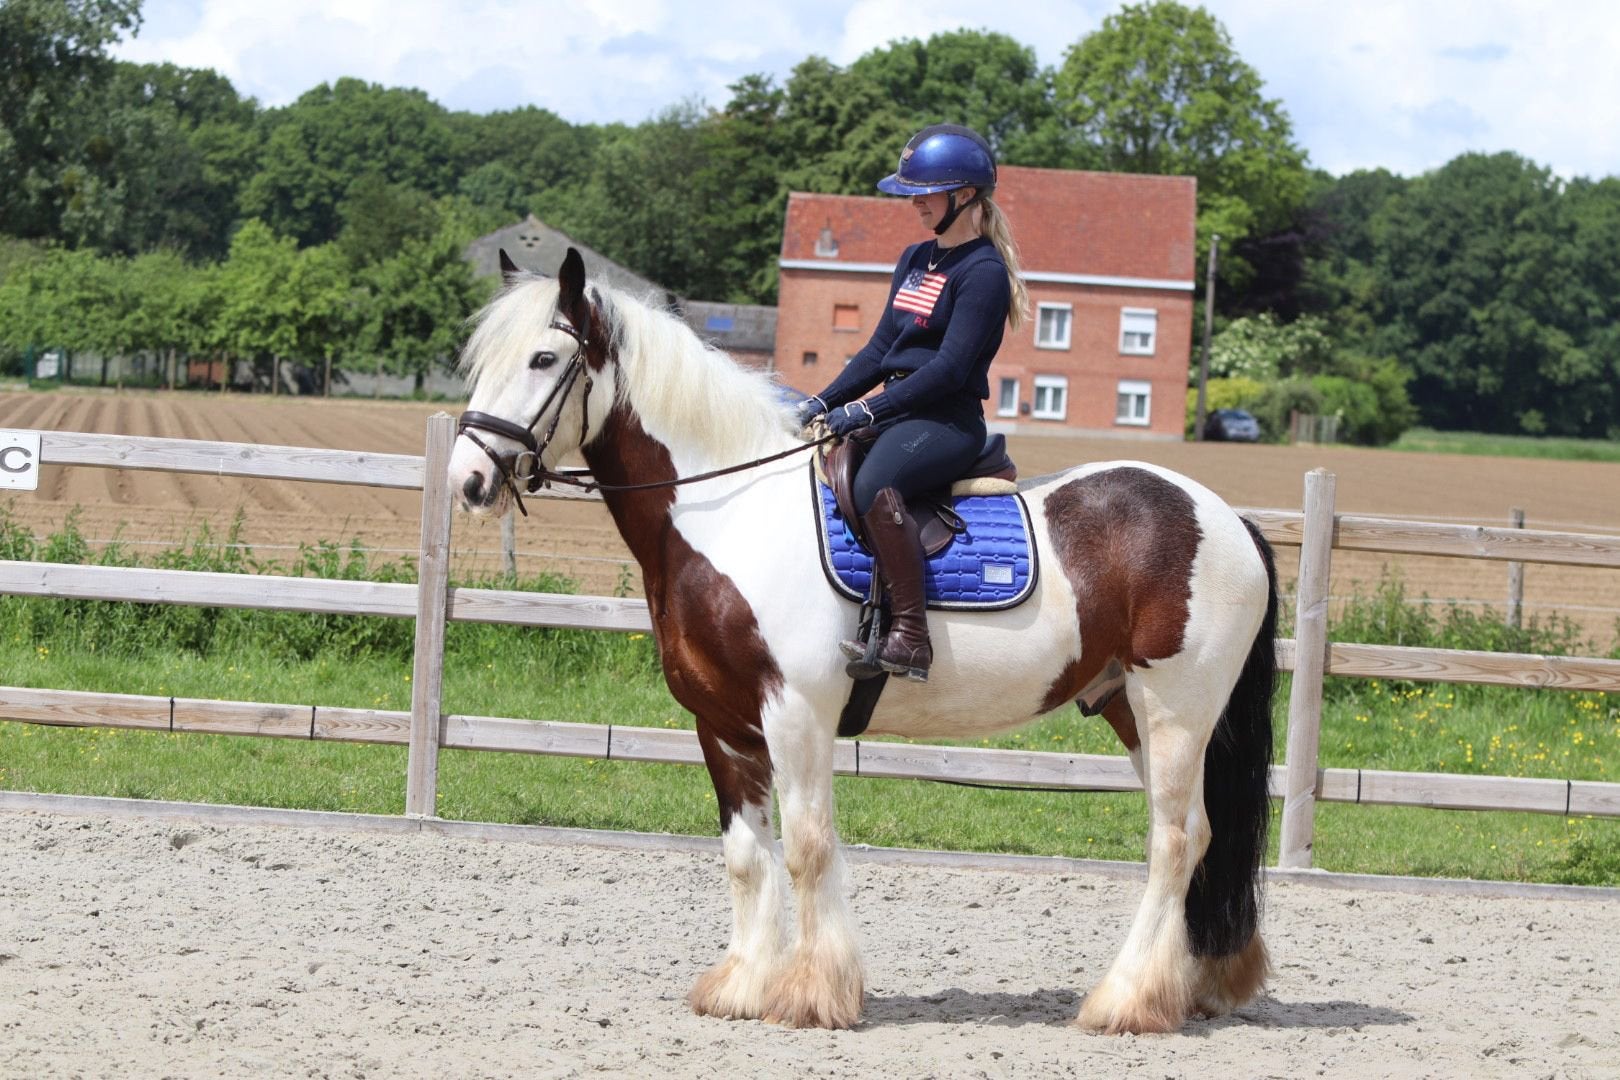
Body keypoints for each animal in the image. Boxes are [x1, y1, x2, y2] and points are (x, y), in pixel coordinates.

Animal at [448, 248, 1280, 1035]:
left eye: (543, 359)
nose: (467, 480)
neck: (730, 513)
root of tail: (1227, 519)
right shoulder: (721, 724)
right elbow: (746, 855)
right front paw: (744, 986)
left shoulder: (796, 714)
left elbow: (807, 847)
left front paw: (814, 994)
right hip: (1127, 708)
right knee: (1196, 836)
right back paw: (1185, 988)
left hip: (1175, 708)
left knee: (1175, 841)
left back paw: (1126, 1000)